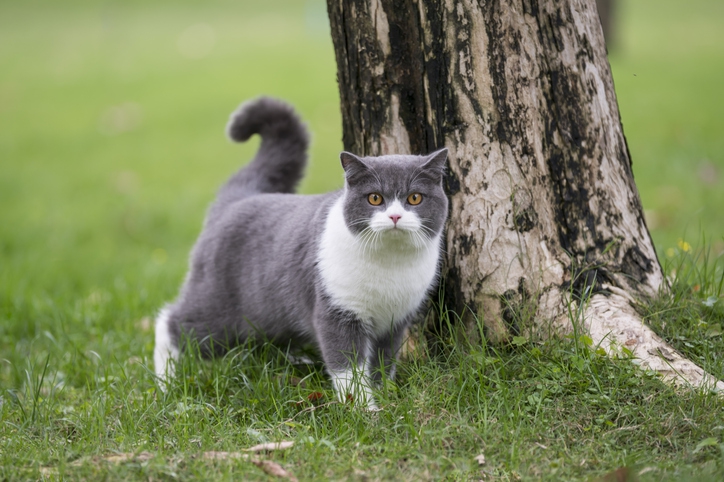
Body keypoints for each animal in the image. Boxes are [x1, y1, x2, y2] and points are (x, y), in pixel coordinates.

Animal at [153, 97, 446, 406]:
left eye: (415, 198)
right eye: (375, 198)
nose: (395, 216)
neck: (390, 264)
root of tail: (237, 199)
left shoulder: (394, 321)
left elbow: (383, 361)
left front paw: (382, 393)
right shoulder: (336, 312)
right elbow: (347, 366)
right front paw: (361, 407)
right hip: (219, 310)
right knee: (170, 323)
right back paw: (166, 384)